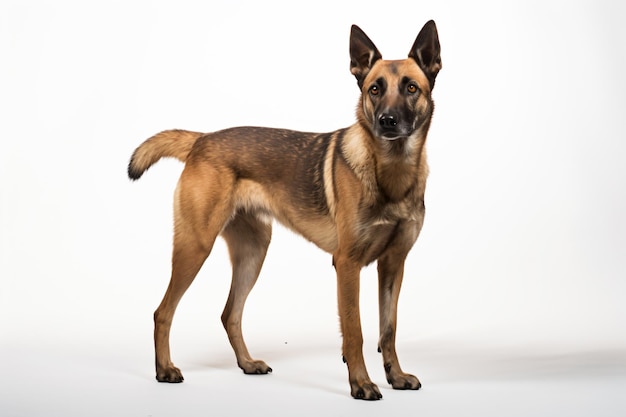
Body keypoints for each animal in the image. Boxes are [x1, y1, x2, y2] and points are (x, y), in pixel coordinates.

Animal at [127, 20, 438, 400]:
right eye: (375, 89)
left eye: (411, 87)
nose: (387, 121)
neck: (390, 171)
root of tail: (202, 140)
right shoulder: (347, 265)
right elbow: (356, 331)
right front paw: (361, 384)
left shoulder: (393, 265)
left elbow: (388, 330)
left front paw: (396, 377)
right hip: (196, 247)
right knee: (163, 312)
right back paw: (164, 370)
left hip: (254, 251)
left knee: (229, 314)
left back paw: (247, 364)